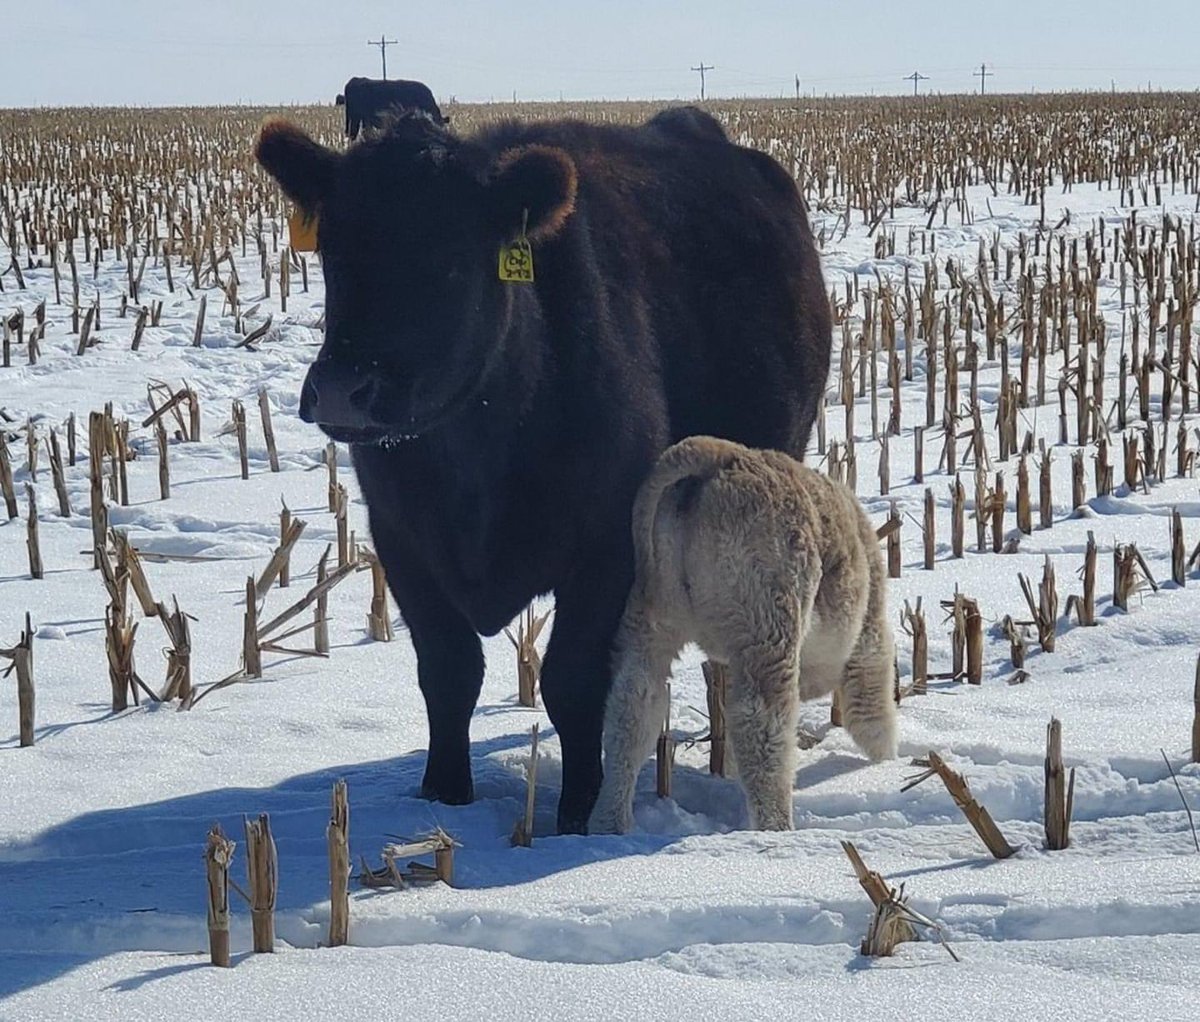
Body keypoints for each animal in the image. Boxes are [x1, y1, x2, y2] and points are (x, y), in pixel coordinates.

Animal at [253, 106, 833, 833]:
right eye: (331, 248)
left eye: (450, 255)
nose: (339, 390)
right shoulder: (401, 541)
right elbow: (448, 671)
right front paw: (443, 793)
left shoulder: (609, 549)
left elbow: (571, 680)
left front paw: (579, 813)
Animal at [589, 436, 898, 834]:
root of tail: (716, 454)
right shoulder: (868, 636)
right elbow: (872, 708)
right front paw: (888, 762)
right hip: (768, 620)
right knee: (761, 727)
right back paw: (776, 827)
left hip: (651, 618)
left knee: (631, 711)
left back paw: (608, 824)